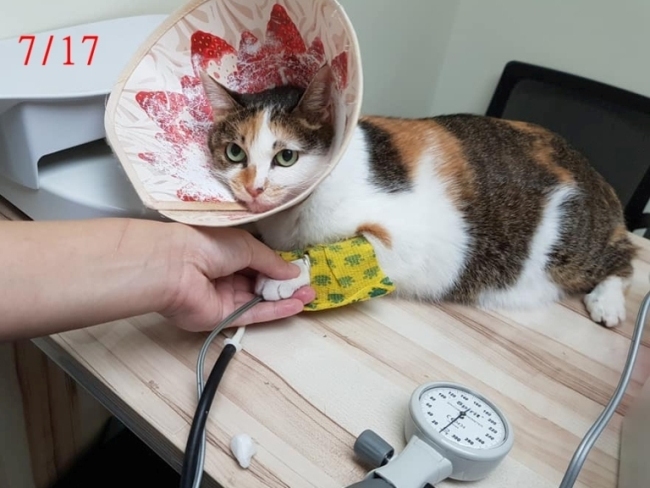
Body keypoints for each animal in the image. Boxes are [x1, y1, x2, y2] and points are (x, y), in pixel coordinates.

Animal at [198, 65, 637, 327]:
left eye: (286, 156)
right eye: (235, 153)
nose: (254, 188)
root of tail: (590, 167)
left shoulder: (413, 243)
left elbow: (345, 251)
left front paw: (288, 274)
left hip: (571, 239)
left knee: (624, 255)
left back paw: (608, 304)